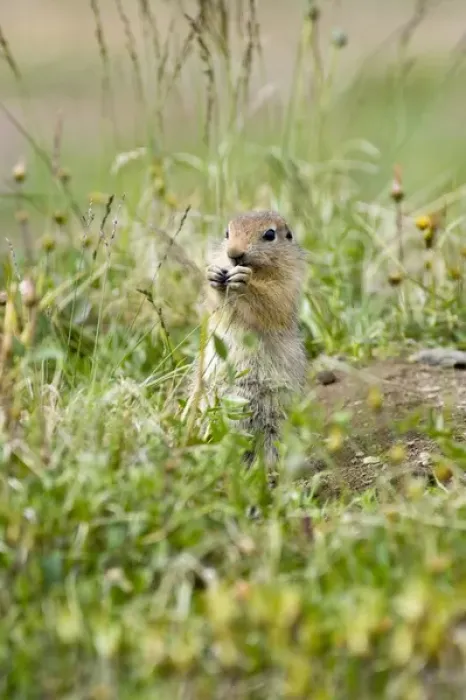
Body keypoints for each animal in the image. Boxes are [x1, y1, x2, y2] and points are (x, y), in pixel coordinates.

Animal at [188, 210, 307, 472]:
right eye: (227, 233)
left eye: (270, 234)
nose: (234, 254)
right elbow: (215, 306)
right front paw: (213, 275)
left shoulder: (287, 284)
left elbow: (271, 301)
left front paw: (245, 281)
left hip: (274, 418)